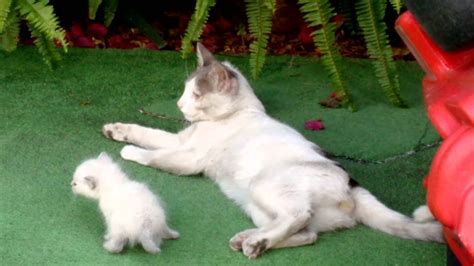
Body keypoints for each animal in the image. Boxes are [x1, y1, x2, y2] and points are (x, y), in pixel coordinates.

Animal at [101, 43, 444, 258]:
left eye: (196, 95)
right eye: (185, 91)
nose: (179, 105)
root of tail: (352, 184)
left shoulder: (189, 157)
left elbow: (156, 155)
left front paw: (129, 152)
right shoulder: (181, 140)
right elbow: (147, 133)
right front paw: (116, 130)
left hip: (265, 186)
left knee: (298, 216)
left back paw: (256, 242)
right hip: (256, 205)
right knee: (307, 233)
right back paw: (249, 240)